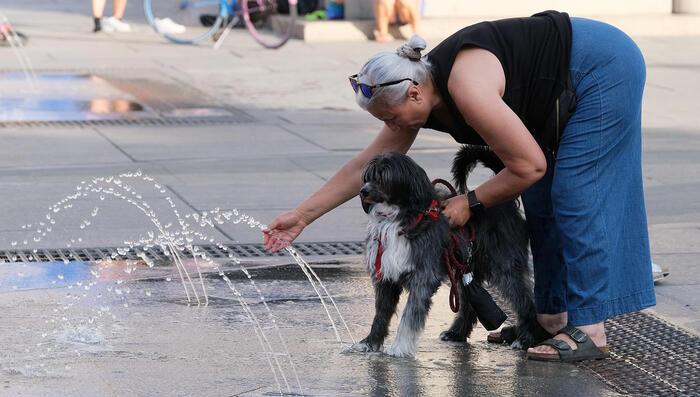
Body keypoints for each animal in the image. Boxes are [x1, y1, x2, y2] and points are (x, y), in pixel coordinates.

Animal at [348, 145, 540, 356]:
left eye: (383, 176)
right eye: (367, 176)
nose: (363, 191)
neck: (396, 218)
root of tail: (506, 204)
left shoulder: (423, 276)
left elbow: (411, 314)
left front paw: (400, 346)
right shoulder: (385, 276)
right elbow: (381, 314)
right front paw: (370, 342)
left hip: (504, 265)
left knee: (525, 301)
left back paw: (526, 338)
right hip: (466, 267)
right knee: (469, 305)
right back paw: (456, 333)